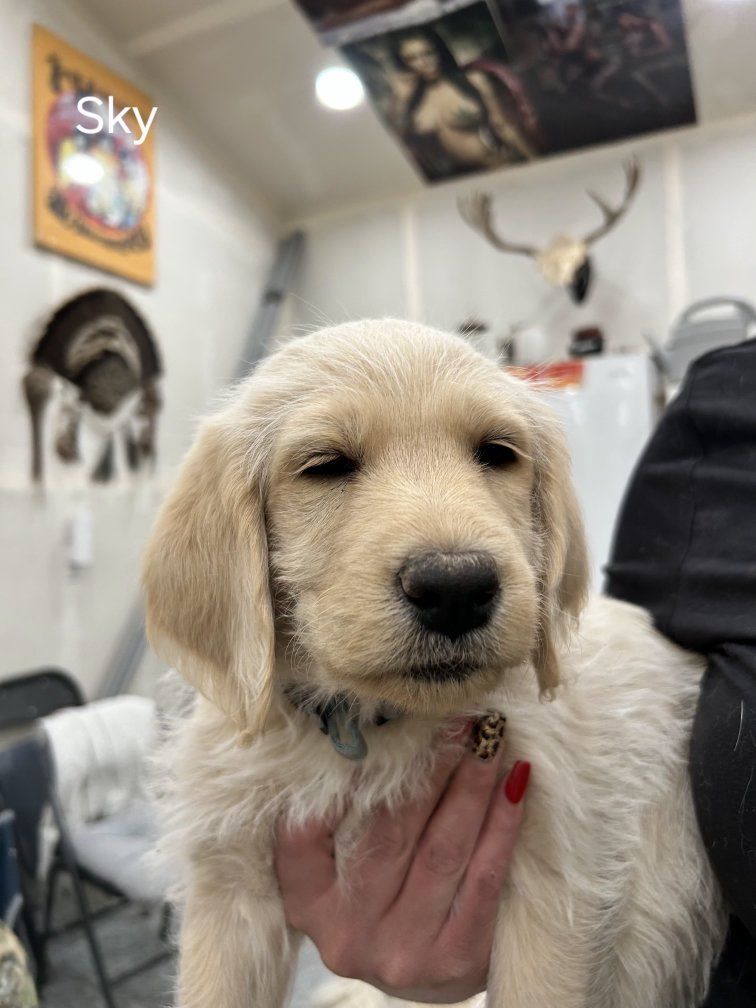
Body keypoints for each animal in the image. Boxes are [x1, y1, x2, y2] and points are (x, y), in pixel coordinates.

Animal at [143, 320, 726, 1008]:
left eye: (496, 453)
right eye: (325, 466)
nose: (456, 587)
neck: (370, 730)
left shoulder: (559, 897)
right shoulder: (227, 892)